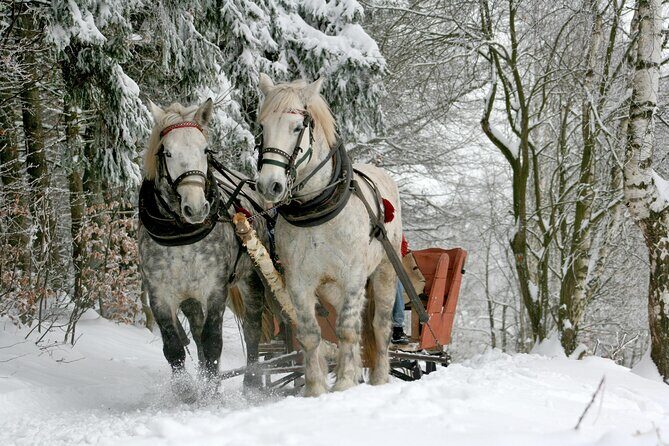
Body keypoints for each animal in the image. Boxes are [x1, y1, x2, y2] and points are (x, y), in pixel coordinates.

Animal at [138, 98, 267, 402]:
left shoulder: (215, 289)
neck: (181, 235)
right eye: (168, 152)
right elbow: (174, 346)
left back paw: (252, 383)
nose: (196, 208)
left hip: (250, 279)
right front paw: (187, 391)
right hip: (190, 297)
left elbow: (213, 342)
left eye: (205, 150)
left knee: (252, 328)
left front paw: (211, 392)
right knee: (195, 332)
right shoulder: (160, 294)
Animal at [254, 75, 402, 396]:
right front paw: (316, 389)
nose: (269, 185)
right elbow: (311, 334)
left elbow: (347, 329)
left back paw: (379, 377)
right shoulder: (298, 281)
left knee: (379, 325)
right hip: (331, 287)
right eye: (262, 127)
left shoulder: (353, 277)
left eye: (298, 127)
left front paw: (344, 382)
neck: (317, 208)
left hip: (384, 271)